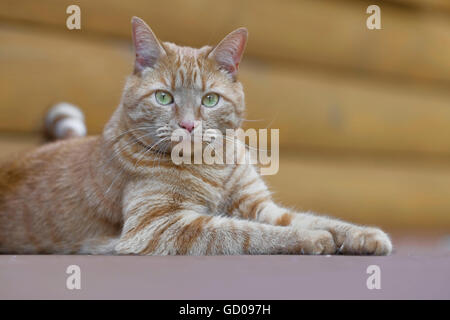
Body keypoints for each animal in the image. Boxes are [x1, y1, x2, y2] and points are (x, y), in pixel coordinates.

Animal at [0, 16, 390, 255]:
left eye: (210, 99)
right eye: (163, 97)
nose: (188, 125)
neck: (212, 165)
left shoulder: (259, 206)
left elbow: (316, 219)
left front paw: (363, 234)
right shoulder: (159, 227)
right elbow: (244, 232)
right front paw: (312, 239)